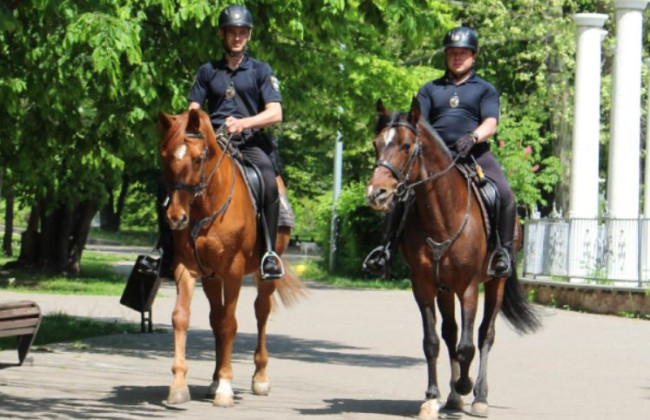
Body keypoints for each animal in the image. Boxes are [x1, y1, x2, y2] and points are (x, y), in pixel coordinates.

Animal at [157, 107, 304, 406]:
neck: (205, 208)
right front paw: (179, 385)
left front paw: (225, 386)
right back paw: (213, 380)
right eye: (165, 156)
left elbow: (229, 324)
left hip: (264, 274)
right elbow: (182, 317)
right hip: (211, 278)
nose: (176, 218)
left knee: (261, 312)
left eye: (197, 158)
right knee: (215, 317)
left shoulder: (233, 272)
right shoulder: (186, 267)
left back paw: (259, 378)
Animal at [364, 97, 536, 418]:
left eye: (406, 145)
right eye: (376, 143)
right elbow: (432, 341)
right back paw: (454, 395)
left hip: (494, 284)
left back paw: (478, 395)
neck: (442, 214)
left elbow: (468, 345)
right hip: (444, 289)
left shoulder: (468, 288)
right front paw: (433, 397)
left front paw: (466, 386)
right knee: (450, 333)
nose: (376, 193)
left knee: (485, 335)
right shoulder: (423, 285)